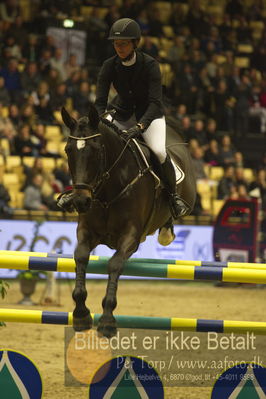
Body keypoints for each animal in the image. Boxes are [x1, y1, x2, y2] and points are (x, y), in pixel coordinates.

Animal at [61, 105, 196, 338]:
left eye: (95, 151)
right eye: (68, 150)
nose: (80, 201)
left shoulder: (130, 236)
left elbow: (115, 264)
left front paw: (107, 321)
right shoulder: (86, 231)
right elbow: (80, 257)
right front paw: (81, 314)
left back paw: (169, 227)